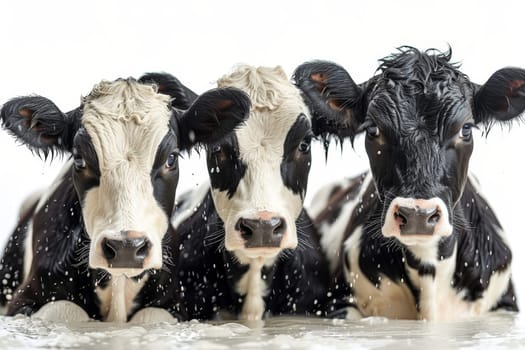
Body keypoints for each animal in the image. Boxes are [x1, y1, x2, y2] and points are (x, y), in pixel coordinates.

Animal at [0, 74, 251, 322]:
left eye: (171, 159)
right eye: (79, 159)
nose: (126, 247)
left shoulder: (174, 303)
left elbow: (150, 317)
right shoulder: (23, 299)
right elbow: (66, 311)